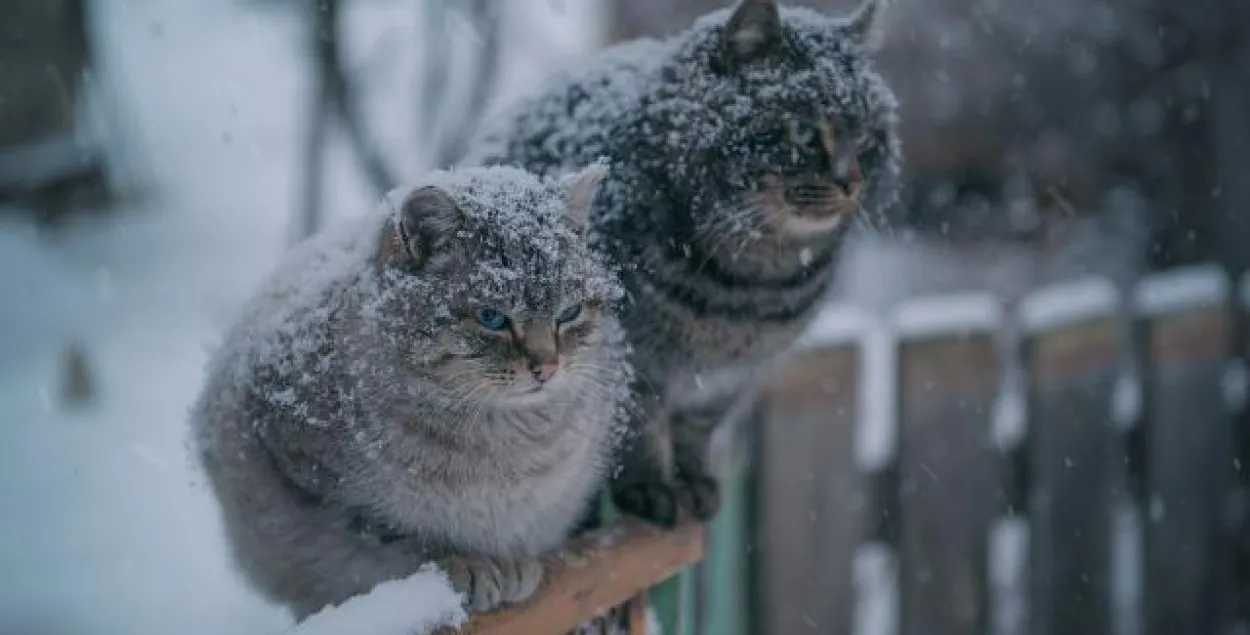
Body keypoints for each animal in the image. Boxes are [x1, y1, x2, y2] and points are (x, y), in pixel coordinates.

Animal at [465, 0, 905, 525]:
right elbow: (641, 428)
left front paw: (694, 482)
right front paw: (653, 488)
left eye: (868, 138)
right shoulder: (633, 359)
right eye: (802, 130)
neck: (750, 287)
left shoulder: (730, 379)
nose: (851, 181)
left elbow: (696, 430)